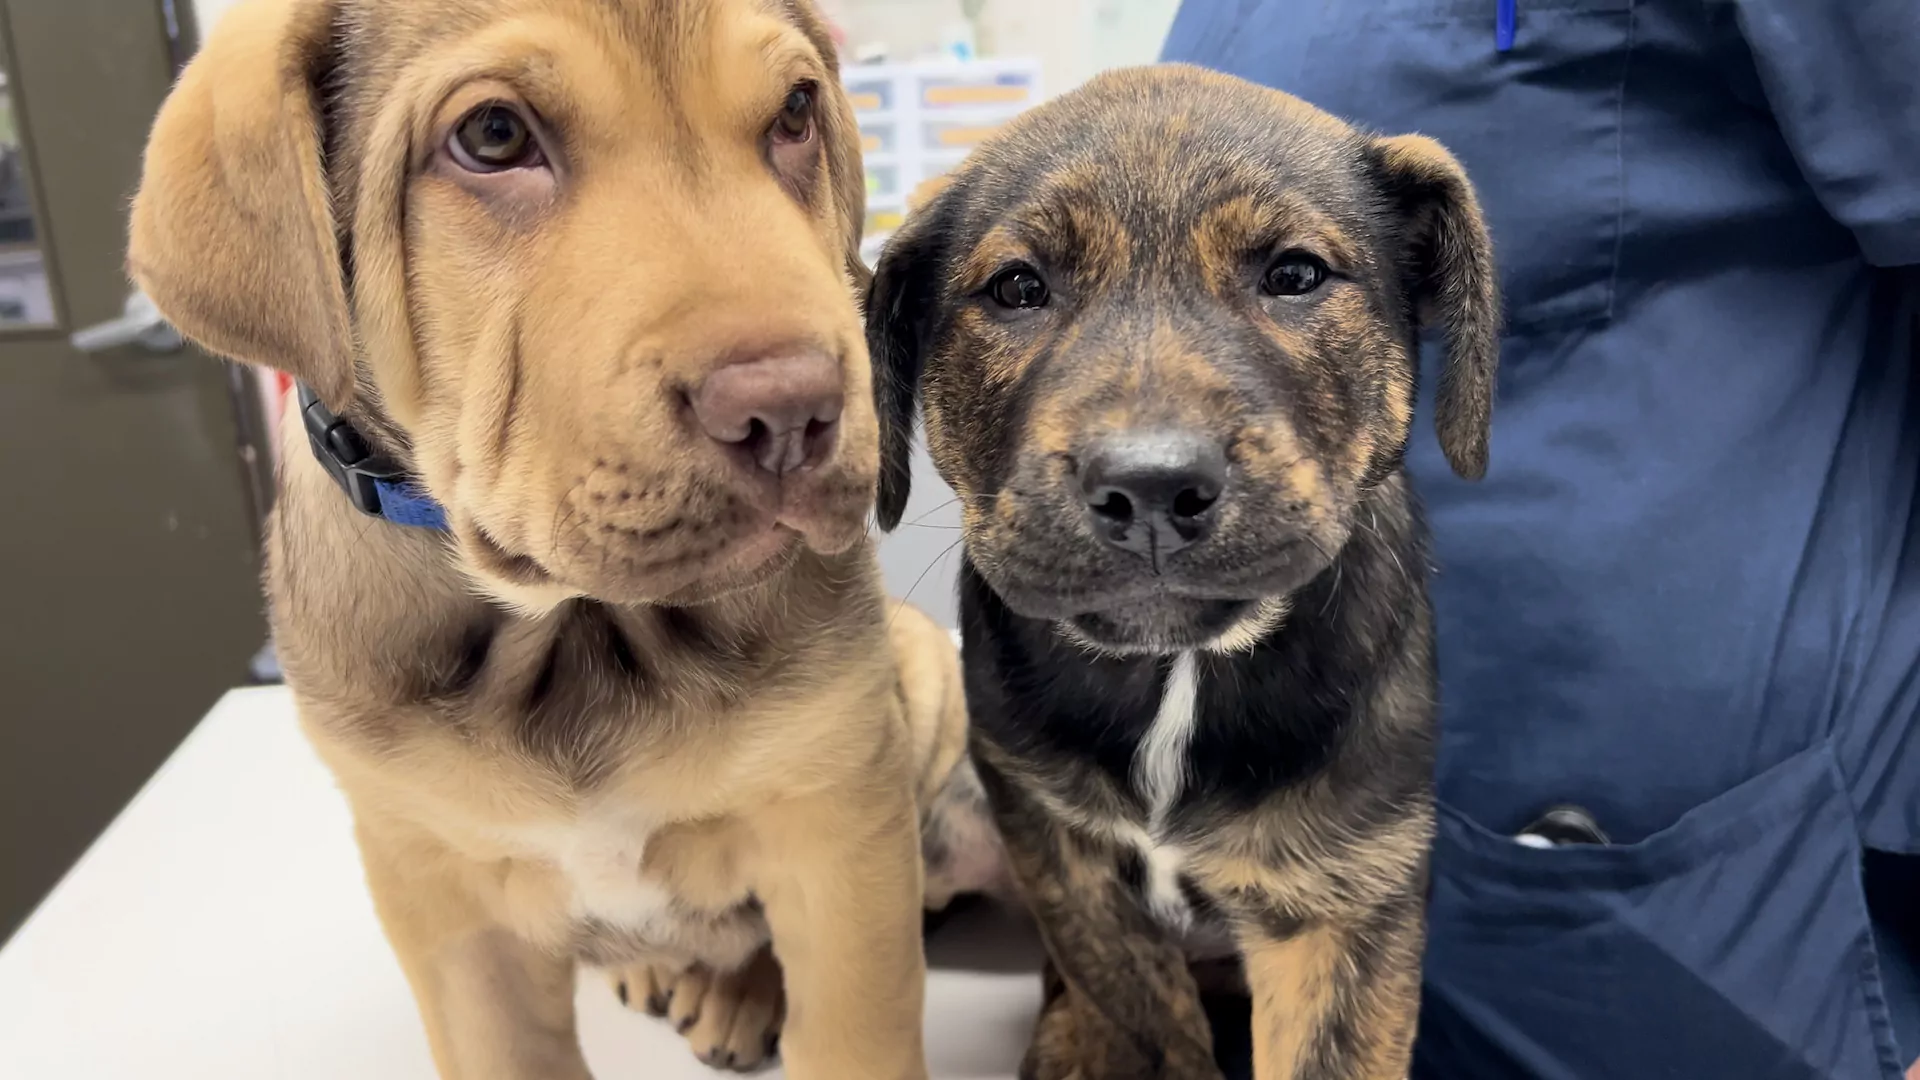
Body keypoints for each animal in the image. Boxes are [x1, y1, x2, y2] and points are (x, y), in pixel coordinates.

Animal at [127, 0, 998, 1068]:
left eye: (796, 112)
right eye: (494, 136)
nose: (797, 411)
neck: (574, 627)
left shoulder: (838, 835)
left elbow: (851, 1034)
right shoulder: (443, 901)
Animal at [867, 62, 1497, 1068]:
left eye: (1294, 276)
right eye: (1016, 287)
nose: (1151, 488)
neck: (1179, 673)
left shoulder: (1348, 903)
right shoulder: (1065, 860)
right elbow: (1145, 1021)